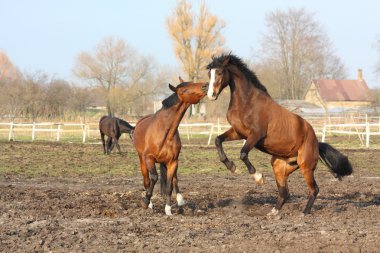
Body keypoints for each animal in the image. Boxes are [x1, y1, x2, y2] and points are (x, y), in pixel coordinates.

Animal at [132, 77, 206, 215]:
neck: (165, 132)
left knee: (174, 179)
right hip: (142, 160)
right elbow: (153, 178)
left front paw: (168, 210)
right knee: (147, 180)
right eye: (184, 90)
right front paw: (146, 202)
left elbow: (169, 186)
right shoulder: (149, 158)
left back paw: (180, 200)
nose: (205, 85)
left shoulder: (172, 161)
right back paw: (149, 204)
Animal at [206, 54, 352, 214]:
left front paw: (258, 177)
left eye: (219, 72)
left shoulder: (255, 135)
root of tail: (316, 142)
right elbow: (217, 140)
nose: (211, 95)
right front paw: (232, 167)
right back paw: (274, 212)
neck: (247, 103)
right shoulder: (238, 132)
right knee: (285, 192)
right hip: (280, 166)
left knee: (314, 189)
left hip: (306, 167)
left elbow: (243, 153)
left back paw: (304, 213)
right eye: (209, 74)